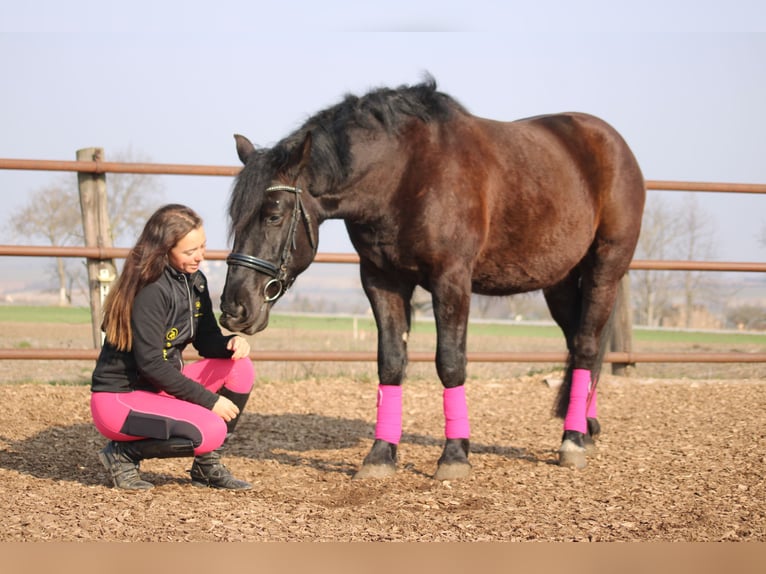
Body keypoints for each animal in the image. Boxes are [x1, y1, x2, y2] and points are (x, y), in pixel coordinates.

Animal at [220, 77, 645, 479]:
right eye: (235, 217)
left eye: (274, 214)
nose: (234, 308)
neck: (403, 174)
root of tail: (613, 143)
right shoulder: (381, 280)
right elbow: (391, 362)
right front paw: (380, 455)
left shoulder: (451, 281)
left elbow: (450, 363)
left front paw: (455, 455)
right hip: (558, 281)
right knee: (578, 344)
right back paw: (586, 429)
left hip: (605, 269)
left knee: (587, 346)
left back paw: (572, 440)